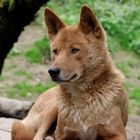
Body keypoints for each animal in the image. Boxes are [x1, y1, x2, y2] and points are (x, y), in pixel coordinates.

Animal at [11, 4, 128, 140]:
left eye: (74, 50)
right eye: (55, 51)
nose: (52, 71)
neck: (81, 99)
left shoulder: (117, 134)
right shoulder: (62, 134)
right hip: (53, 107)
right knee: (38, 134)